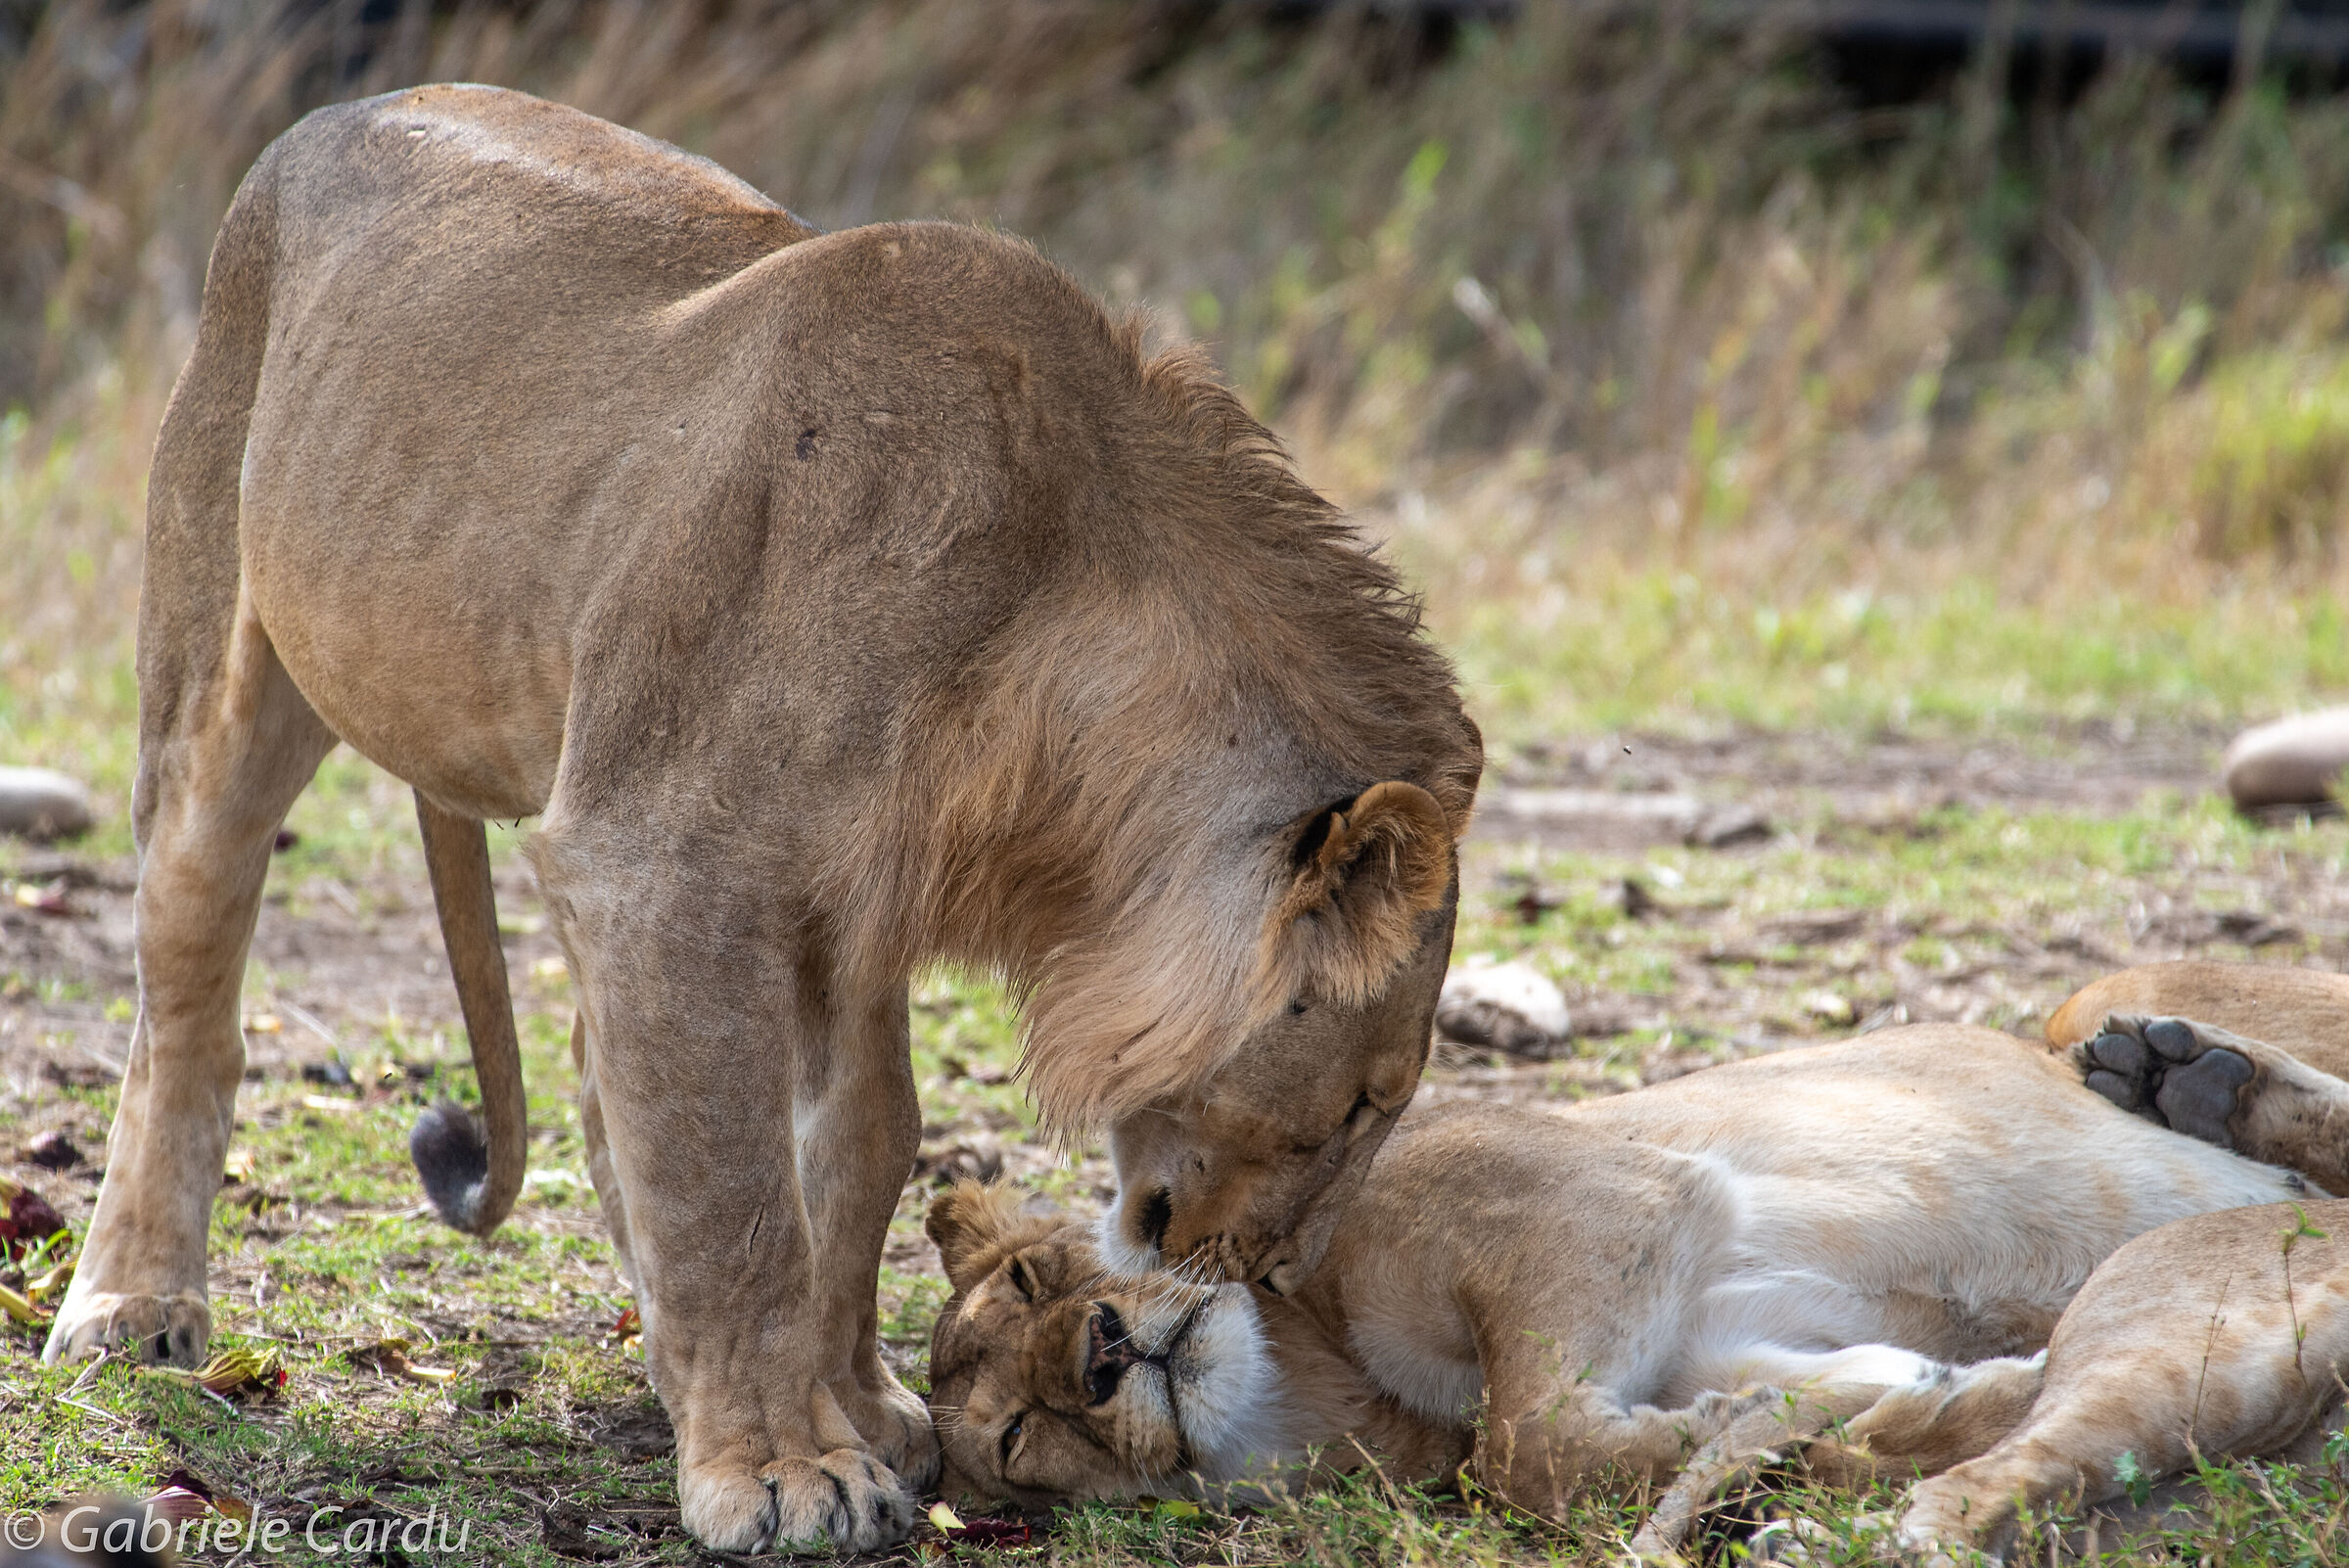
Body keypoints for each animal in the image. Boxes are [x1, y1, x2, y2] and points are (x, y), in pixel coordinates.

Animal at [44, 84, 1481, 1554]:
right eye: (1366, 1099)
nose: (1280, 1277)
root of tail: (342, 110)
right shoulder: (662, 862)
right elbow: (736, 1198)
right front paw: (789, 1468)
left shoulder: (849, 899)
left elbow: (856, 1149)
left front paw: (855, 1404)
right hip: (223, 673)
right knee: (186, 995)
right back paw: (136, 1307)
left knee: (596, 1069)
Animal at [922, 1013, 2349, 1542]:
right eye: (1020, 1432)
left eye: (1042, 1275)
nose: (1103, 1353)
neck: (1323, 1366)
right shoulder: (1718, 1316)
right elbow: (1813, 1388)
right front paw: (1851, 1410)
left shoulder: (1627, 1203)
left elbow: (1521, 1451)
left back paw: (2183, 1070)